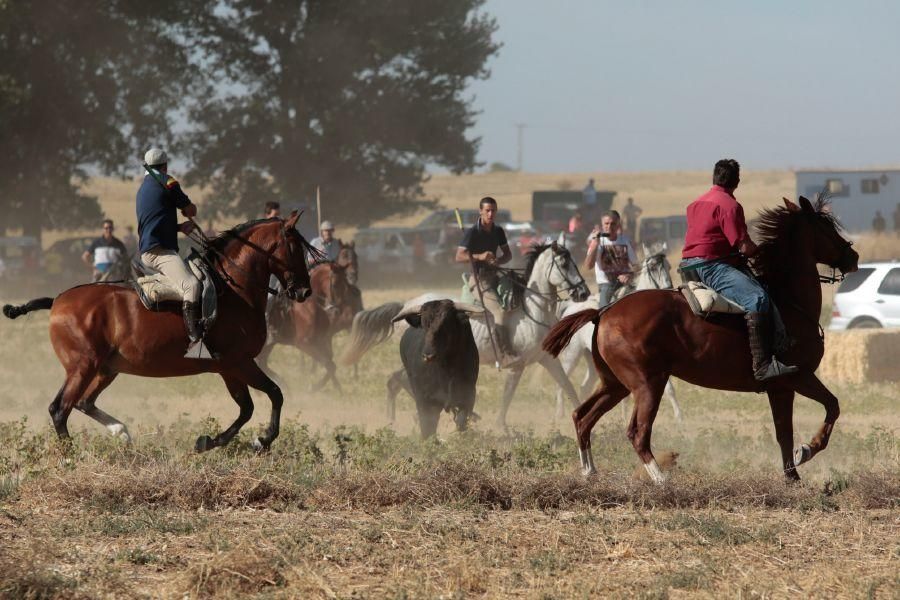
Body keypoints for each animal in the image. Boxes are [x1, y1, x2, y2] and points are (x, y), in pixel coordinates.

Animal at [1, 213, 318, 452]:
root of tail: (57, 300)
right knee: (60, 408)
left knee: (83, 402)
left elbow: (250, 406)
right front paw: (260, 440)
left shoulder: (229, 367)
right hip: (82, 366)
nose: (304, 291)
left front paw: (209, 442)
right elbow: (271, 396)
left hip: (106, 368)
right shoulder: (237, 363)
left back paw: (121, 431)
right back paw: (70, 456)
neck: (234, 288)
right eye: (295, 248)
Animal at [338, 243, 592, 426]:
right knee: (399, 381)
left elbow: (568, 386)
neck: (532, 309)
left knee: (395, 381)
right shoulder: (517, 366)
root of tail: (407, 306)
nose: (583, 292)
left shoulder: (546, 359)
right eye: (564, 263)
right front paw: (501, 427)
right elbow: (507, 397)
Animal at [556, 244, 684, 422]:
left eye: (668, 266)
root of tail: (570, 308)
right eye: (652, 267)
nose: (668, 289)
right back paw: (560, 414)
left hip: (590, 359)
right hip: (572, 355)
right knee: (562, 383)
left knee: (584, 386)